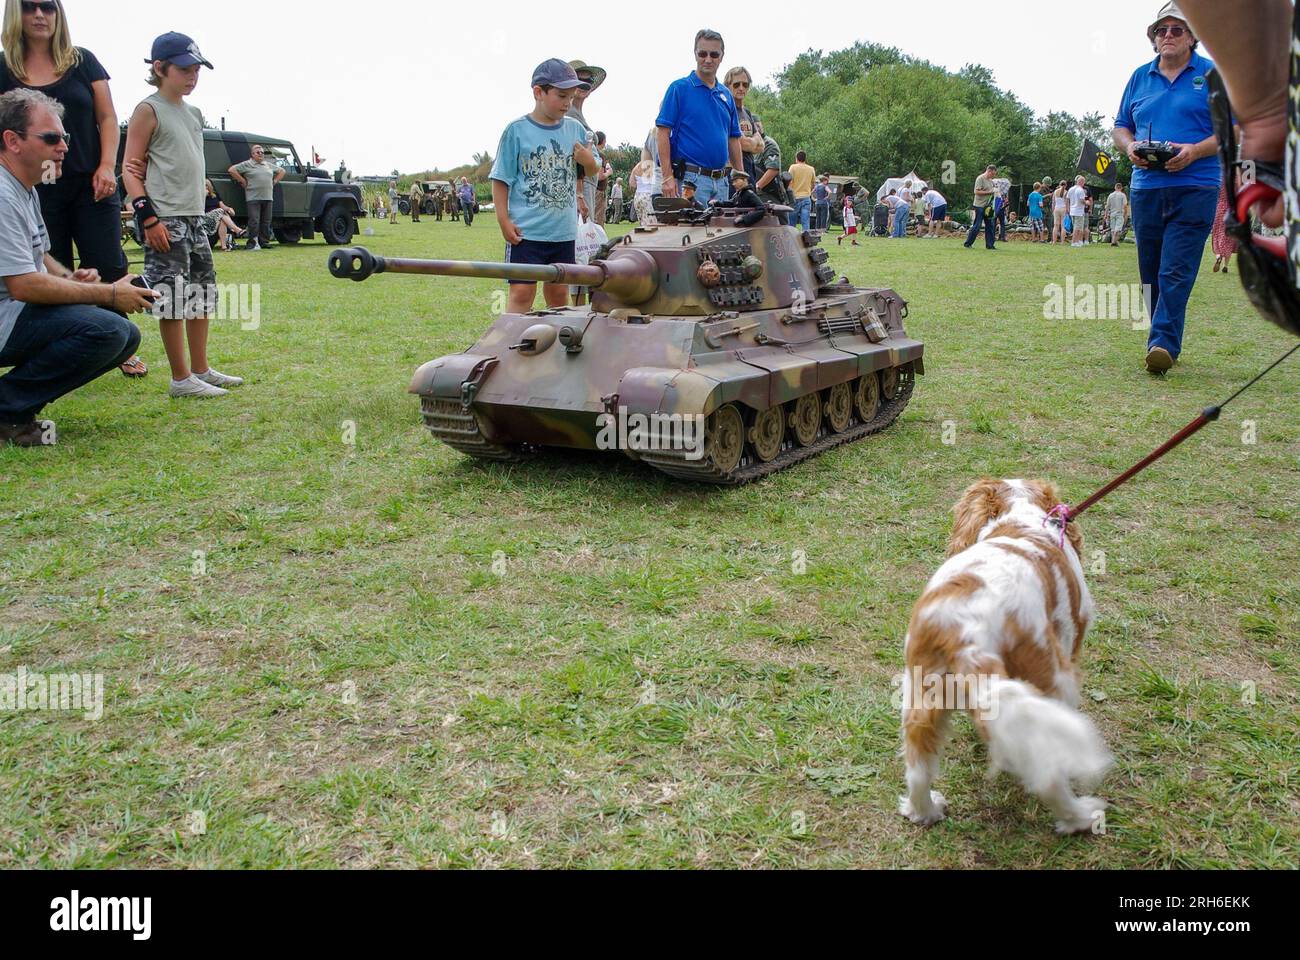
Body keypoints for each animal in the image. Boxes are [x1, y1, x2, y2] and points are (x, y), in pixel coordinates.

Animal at [899, 476, 1112, 832]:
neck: (1022, 515)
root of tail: (967, 631)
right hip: (1051, 678)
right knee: (1048, 773)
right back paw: (1081, 818)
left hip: (922, 697)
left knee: (918, 767)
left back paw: (924, 811)